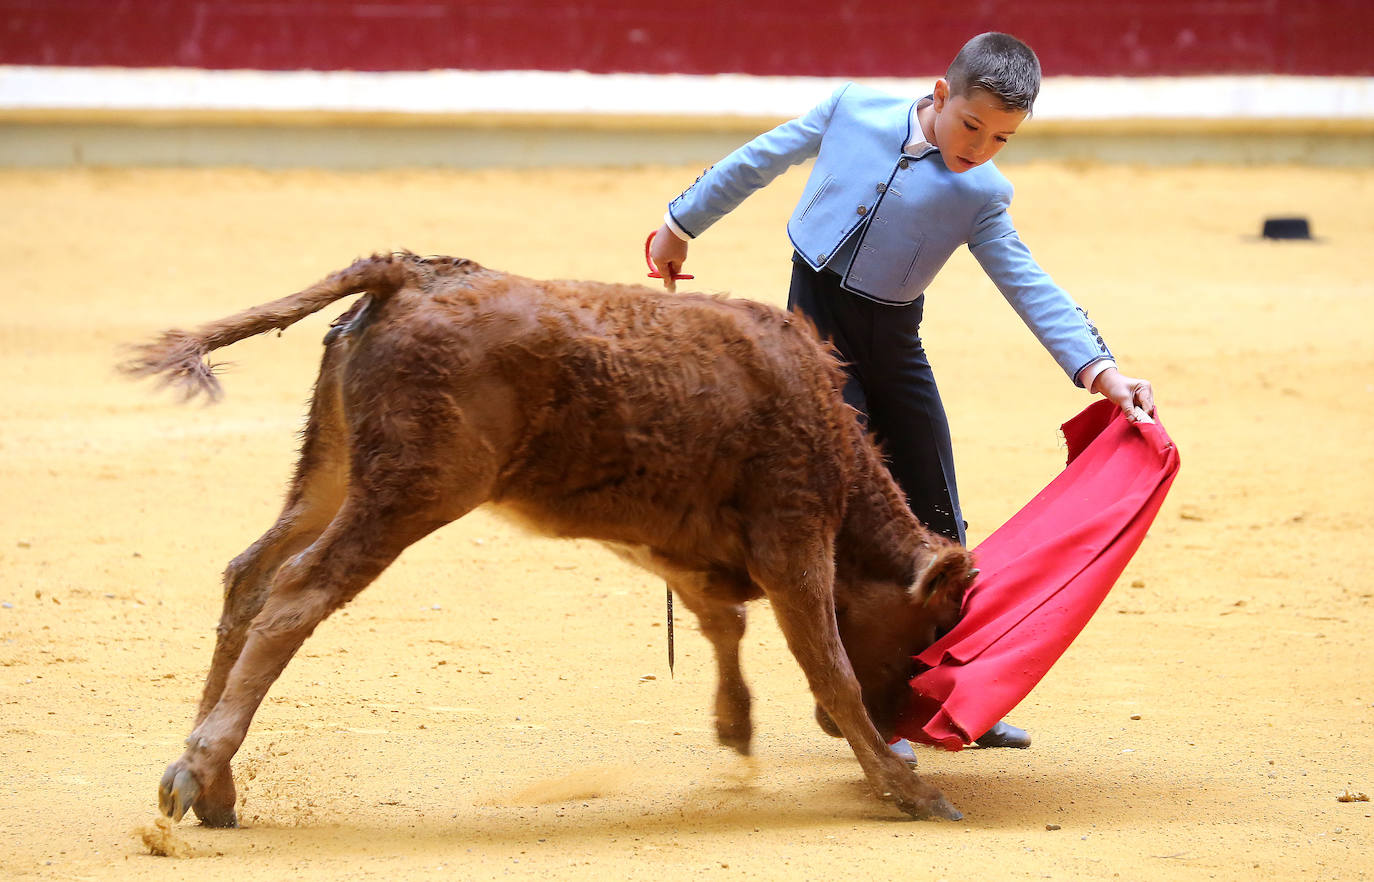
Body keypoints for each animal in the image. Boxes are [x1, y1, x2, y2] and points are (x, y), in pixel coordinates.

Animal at [120, 250, 978, 818]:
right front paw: (907, 788)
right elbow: (827, 663)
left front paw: (736, 728)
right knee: (297, 590)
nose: (901, 728)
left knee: (249, 576)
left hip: (332, 476)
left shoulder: (672, 542)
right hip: (406, 495)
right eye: (931, 634)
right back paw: (196, 771)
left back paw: (217, 788)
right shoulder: (794, 540)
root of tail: (412, 273)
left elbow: (723, 621)